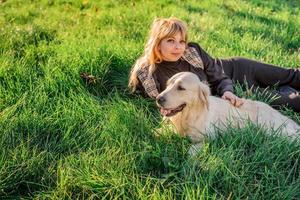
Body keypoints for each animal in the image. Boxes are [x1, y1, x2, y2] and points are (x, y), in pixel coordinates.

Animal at [156, 71, 298, 148]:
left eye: (181, 88)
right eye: (168, 85)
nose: (158, 98)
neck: (190, 115)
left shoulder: (207, 138)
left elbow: (192, 151)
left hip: (272, 130)